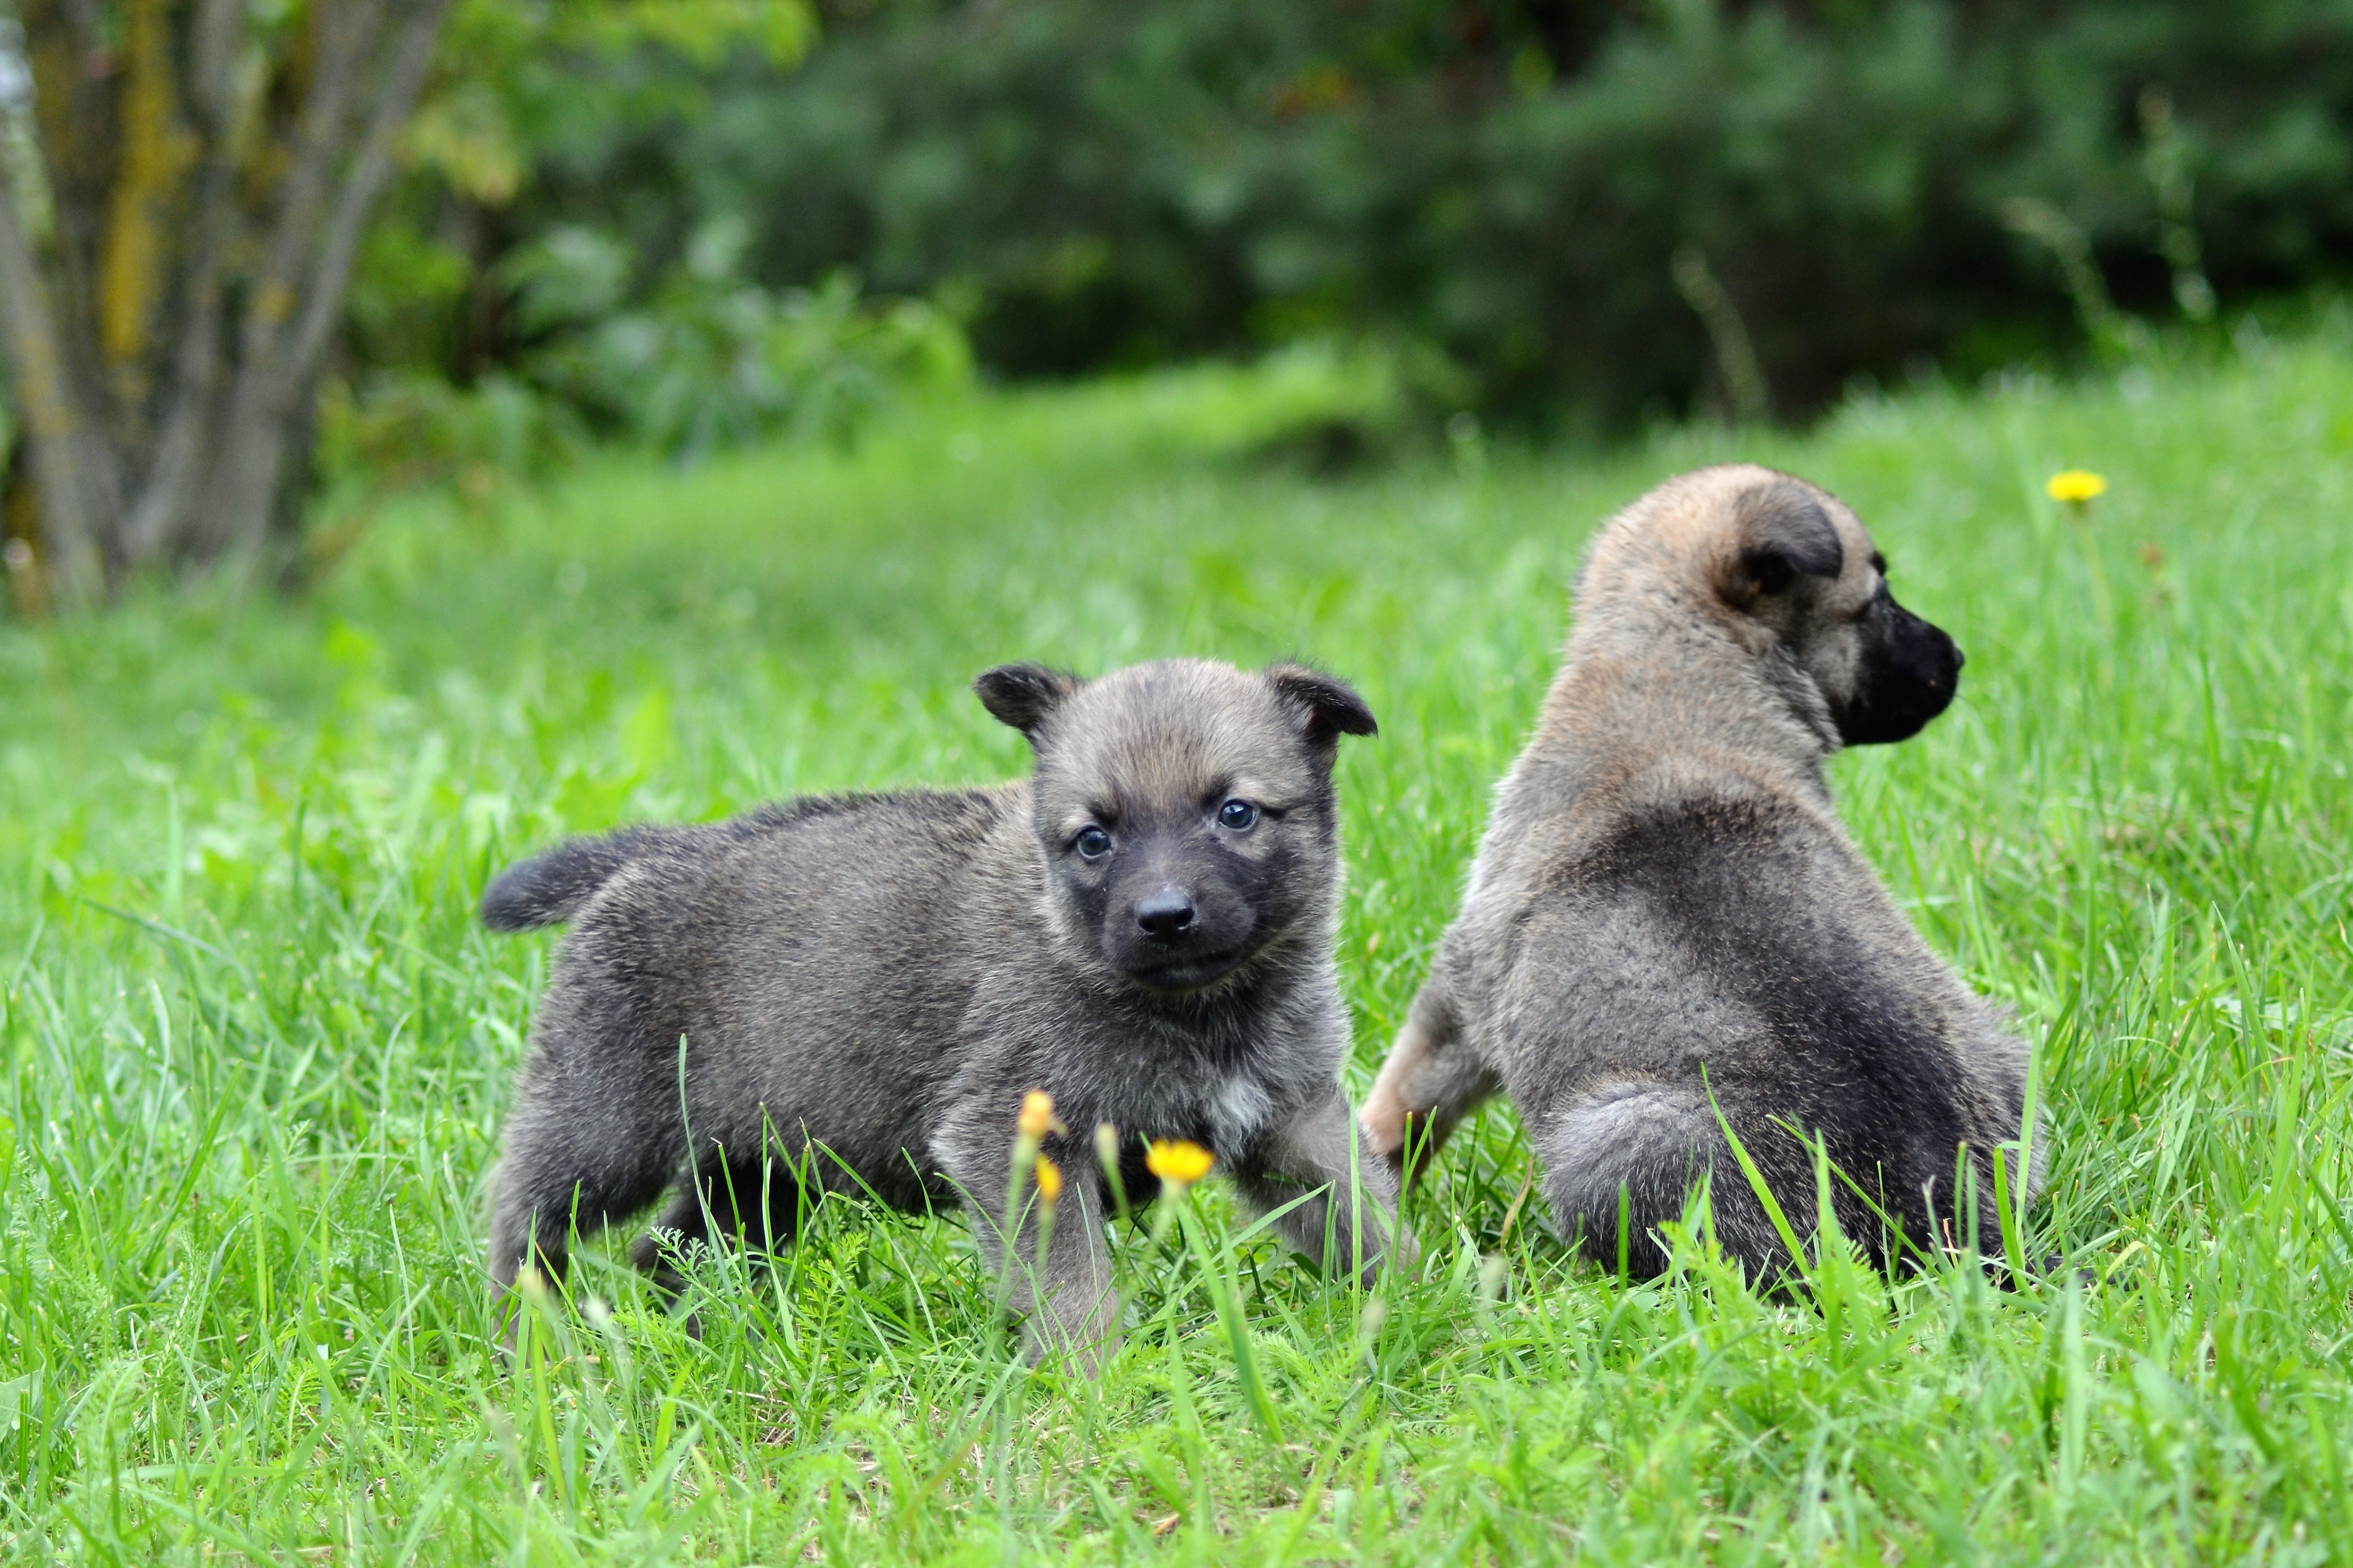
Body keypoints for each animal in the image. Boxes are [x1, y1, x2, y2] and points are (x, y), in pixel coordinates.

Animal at [482, 656, 1404, 1369]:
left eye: (1236, 812)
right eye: (1094, 839)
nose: (1165, 916)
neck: (1197, 1011)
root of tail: (650, 852)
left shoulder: (1296, 1117)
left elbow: (1365, 1212)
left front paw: (1418, 1301)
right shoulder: (1017, 1141)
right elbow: (1072, 1286)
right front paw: (1090, 1377)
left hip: (760, 1163)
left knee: (672, 1245)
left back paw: (710, 1334)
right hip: (605, 1124)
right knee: (526, 1222)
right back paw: (529, 1340)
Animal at [1362, 464, 2040, 1280]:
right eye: (1878, 599)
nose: (1959, 657)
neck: (1682, 665)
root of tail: (1944, 1215)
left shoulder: (1463, 991)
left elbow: (1408, 1093)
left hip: (1612, 1140)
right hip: (1999, 1043)